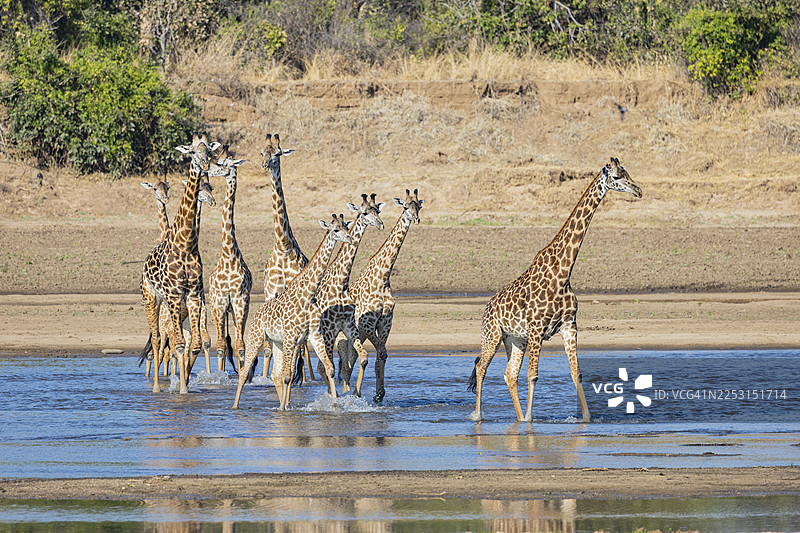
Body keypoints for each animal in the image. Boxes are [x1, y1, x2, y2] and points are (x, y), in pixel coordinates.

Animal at [141, 134, 220, 394]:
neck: (186, 243)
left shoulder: (194, 294)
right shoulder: (175, 295)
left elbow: (194, 344)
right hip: (151, 297)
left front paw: (184, 386)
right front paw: (181, 389)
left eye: (209, 150)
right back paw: (156, 386)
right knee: (157, 340)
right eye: (192, 151)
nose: (205, 163)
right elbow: (178, 344)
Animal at [233, 214, 355, 410]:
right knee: (245, 371)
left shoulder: (314, 334)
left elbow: (329, 369)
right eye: (336, 230)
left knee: (274, 374)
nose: (350, 239)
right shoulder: (291, 336)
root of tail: (257, 313)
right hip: (256, 337)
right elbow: (287, 375)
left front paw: (335, 404)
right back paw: (235, 407)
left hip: (276, 342)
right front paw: (284, 410)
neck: (308, 294)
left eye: (346, 226)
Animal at [310, 193, 385, 395]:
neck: (341, 283)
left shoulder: (348, 326)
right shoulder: (329, 330)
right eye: (365, 212)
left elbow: (363, 357)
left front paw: (354, 394)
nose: (381, 224)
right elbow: (329, 366)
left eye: (378, 210)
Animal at [340, 189, 423, 402]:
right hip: (343, 337)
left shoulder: (385, 323)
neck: (383, 277)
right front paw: (366, 393)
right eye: (405, 206)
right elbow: (379, 354)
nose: (416, 218)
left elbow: (382, 355)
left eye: (418, 206)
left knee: (349, 361)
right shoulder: (366, 324)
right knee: (343, 363)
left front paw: (379, 394)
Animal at [468, 157, 642, 422]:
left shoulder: (569, 326)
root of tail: (487, 308)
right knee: (481, 367)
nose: (638, 191)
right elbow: (533, 375)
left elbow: (576, 373)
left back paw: (518, 418)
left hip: (515, 340)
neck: (563, 272)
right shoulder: (537, 330)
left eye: (628, 173)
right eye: (617, 177)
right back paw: (478, 416)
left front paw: (586, 419)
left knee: (509, 374)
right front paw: (530, 420)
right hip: (492, 335)